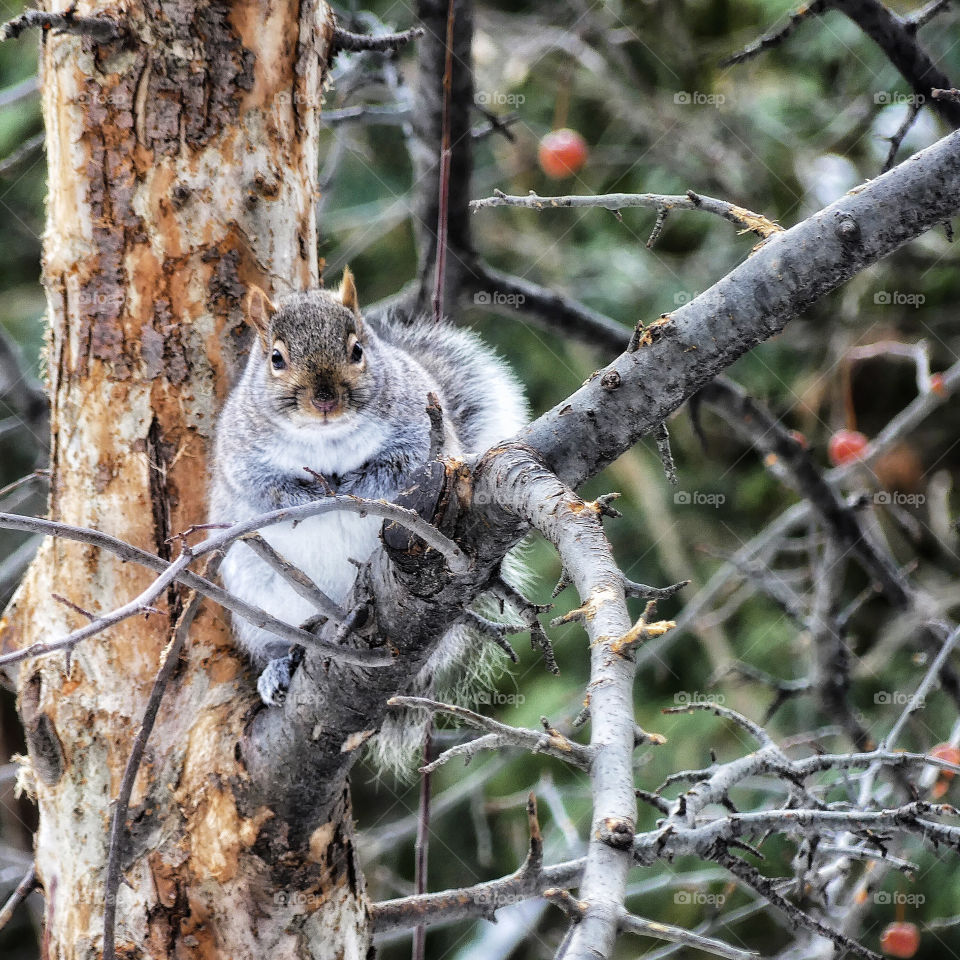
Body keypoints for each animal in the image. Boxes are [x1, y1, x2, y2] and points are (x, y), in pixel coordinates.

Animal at [208, 268, 532, 772]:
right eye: (276, 358)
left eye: (357, 350)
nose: (325, 400)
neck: (325, 441)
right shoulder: (240, 456)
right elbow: (265, 488)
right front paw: (309, 495)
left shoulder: (417, 435)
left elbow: (395, 466)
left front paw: (353, 487)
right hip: (259, 605)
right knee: (279, 642)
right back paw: (279, 666)